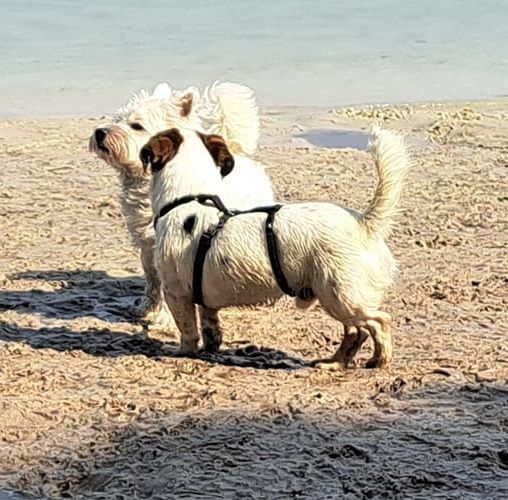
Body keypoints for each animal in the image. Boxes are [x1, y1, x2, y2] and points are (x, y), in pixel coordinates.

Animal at [89, 82, 274, 329]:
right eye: (117, 119)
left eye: (136, 125)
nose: (100, 132)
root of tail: (236, 150)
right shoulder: (148, 246)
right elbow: (152, 281)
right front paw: (147, 309)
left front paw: (164, 320)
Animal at [140, 126, 409, 368]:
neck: (188, 199)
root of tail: (365, 223)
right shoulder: (204, 299)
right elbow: (210, 325)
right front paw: (211, 346)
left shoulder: (176, 294)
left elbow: (187, 330)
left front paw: (181, 351)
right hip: (340, 297)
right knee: (355, 332)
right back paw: (334, 362)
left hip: (341, 297)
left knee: (379, 322)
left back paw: (379, 360)